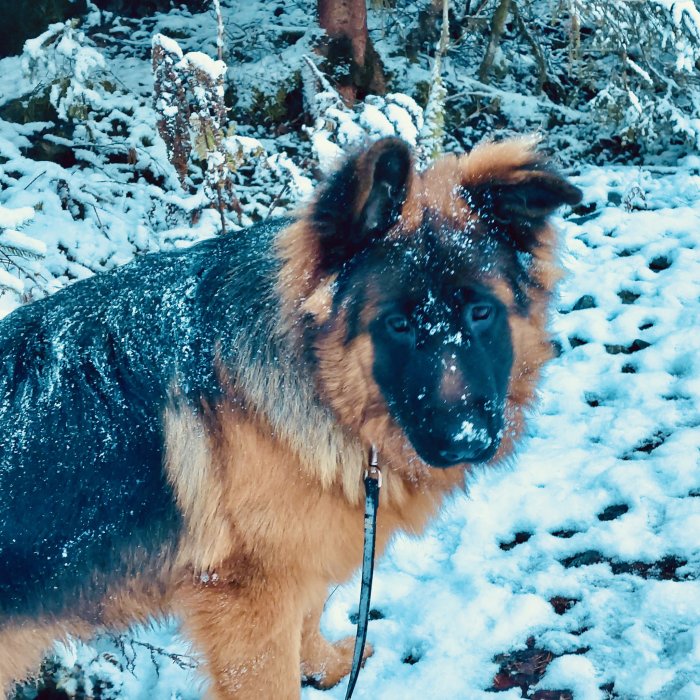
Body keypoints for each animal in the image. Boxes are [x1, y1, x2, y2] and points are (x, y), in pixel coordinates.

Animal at [0, 135, 580, 696]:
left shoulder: (301, 557)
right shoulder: (250, 602)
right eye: (396, 325)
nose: (466, 440)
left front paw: (326, 667)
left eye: (481, 312)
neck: (320, 385)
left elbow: (309, 615)